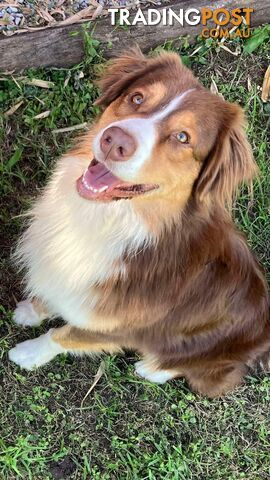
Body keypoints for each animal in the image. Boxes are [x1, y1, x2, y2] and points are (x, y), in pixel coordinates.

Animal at [8, 49, 270, 398]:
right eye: (137, 97)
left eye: (182, 137)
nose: (114, 140)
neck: (110, 220)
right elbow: (53, 297)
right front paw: (31, 310)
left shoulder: (117, 329)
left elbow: (63, 336)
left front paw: (28, 353)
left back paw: (152, 369)